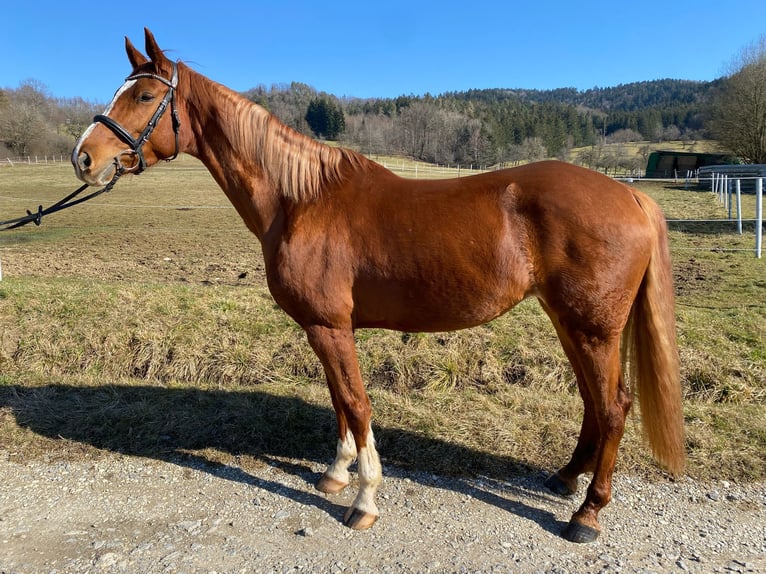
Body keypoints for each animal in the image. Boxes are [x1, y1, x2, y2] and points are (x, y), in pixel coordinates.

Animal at [70, 30, 684, 544]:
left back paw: (587, 514)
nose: (84, 157)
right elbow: (339, 401)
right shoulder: (324, 328)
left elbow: (358, 404)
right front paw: (336, 475)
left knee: (614, 406)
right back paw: (564, 479)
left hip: (592, 327)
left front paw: (364, 500)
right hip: (570, 322)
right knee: (594, 402)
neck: (301, 199)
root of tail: (630, 194)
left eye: (145, 96)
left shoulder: (330, 326)